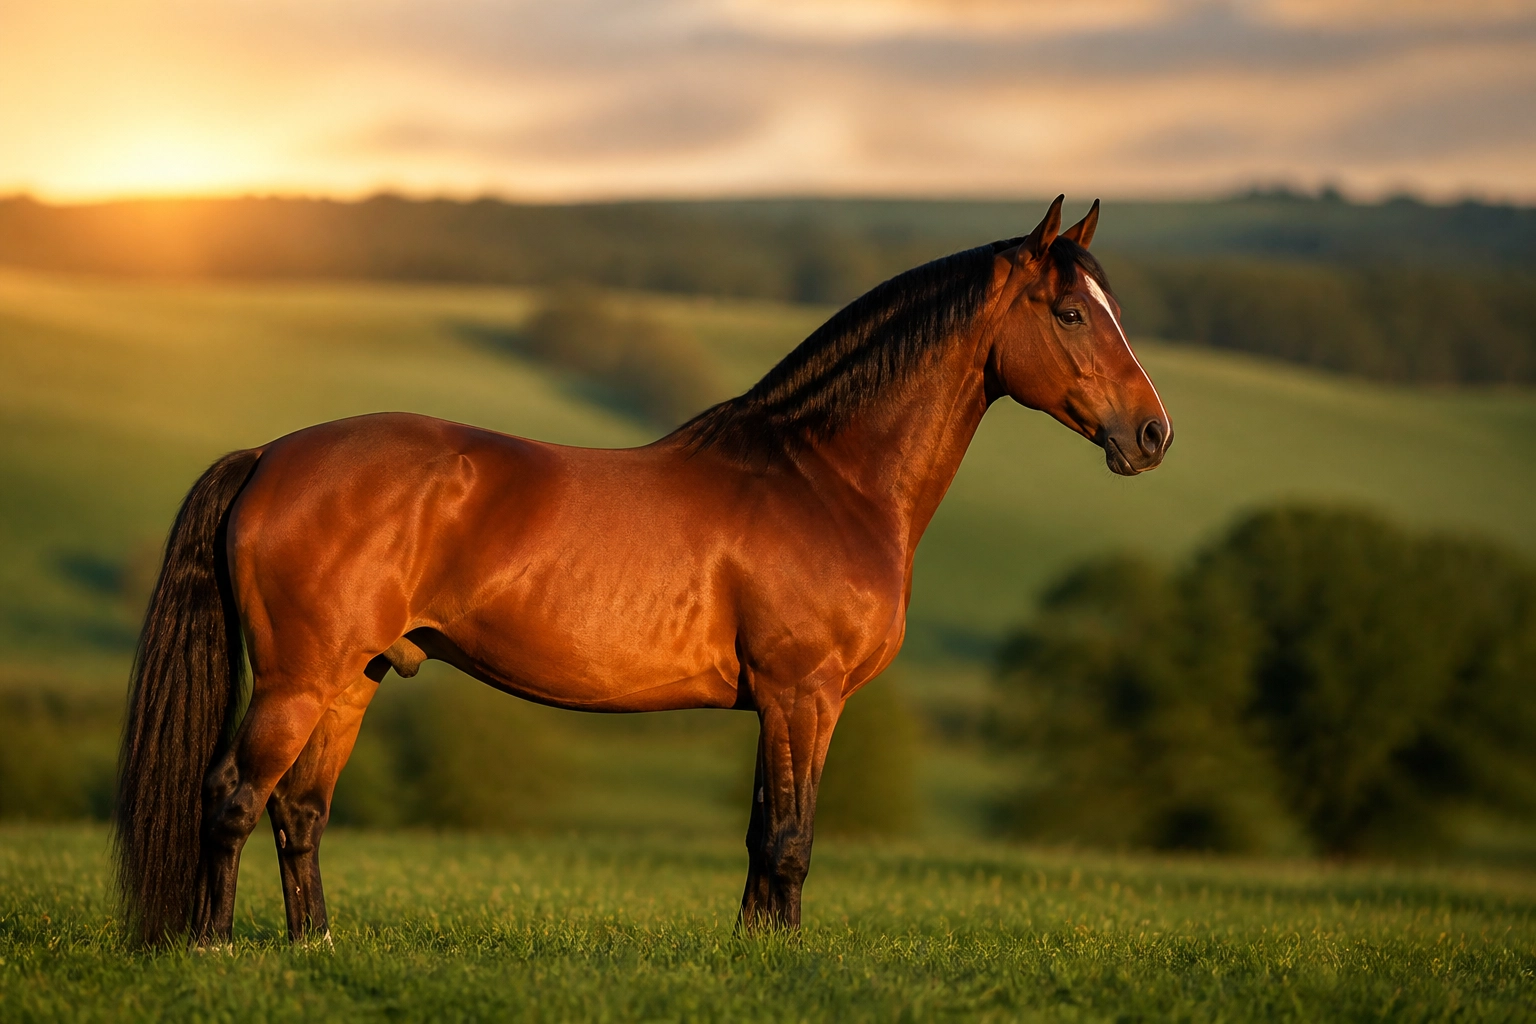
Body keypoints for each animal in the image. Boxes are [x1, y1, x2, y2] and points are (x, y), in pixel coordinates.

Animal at [115, 196, 1171, 946]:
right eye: (1071, 313)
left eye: (1113, 307)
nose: (1153, 434)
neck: (823, 475)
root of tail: (271, 456)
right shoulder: (805, 694)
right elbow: (790, 842)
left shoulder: (780, 704)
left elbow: (759, 840)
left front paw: (754, 956)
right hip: (297, 680)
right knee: (232, 795)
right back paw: (213, 947)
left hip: (353, 679)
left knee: (300, 810)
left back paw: (315, 948)